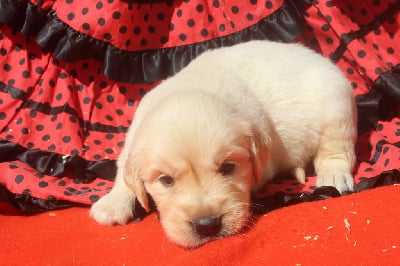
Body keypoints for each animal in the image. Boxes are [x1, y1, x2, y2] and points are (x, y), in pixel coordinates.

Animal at [90, 40, 356, 248]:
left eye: (228, 167)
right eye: (166, 180)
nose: (207, 225)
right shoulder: (132, 136)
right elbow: (124, 172)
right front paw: (112, 203)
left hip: (337, 108)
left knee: (337, 151)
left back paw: (334, 175)